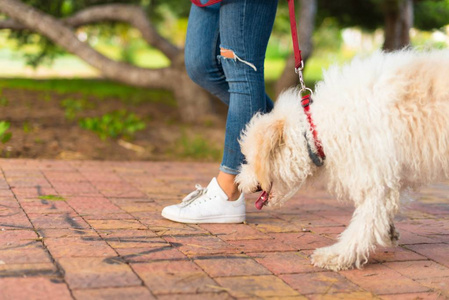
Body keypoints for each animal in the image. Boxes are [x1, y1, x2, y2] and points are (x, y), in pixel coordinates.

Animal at [236, 48, 446, 270]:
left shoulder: (376, 178)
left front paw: (338, 255)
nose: (238, 182)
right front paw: (388, 232)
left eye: (250, 159)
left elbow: (364, 223)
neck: (315, 131)